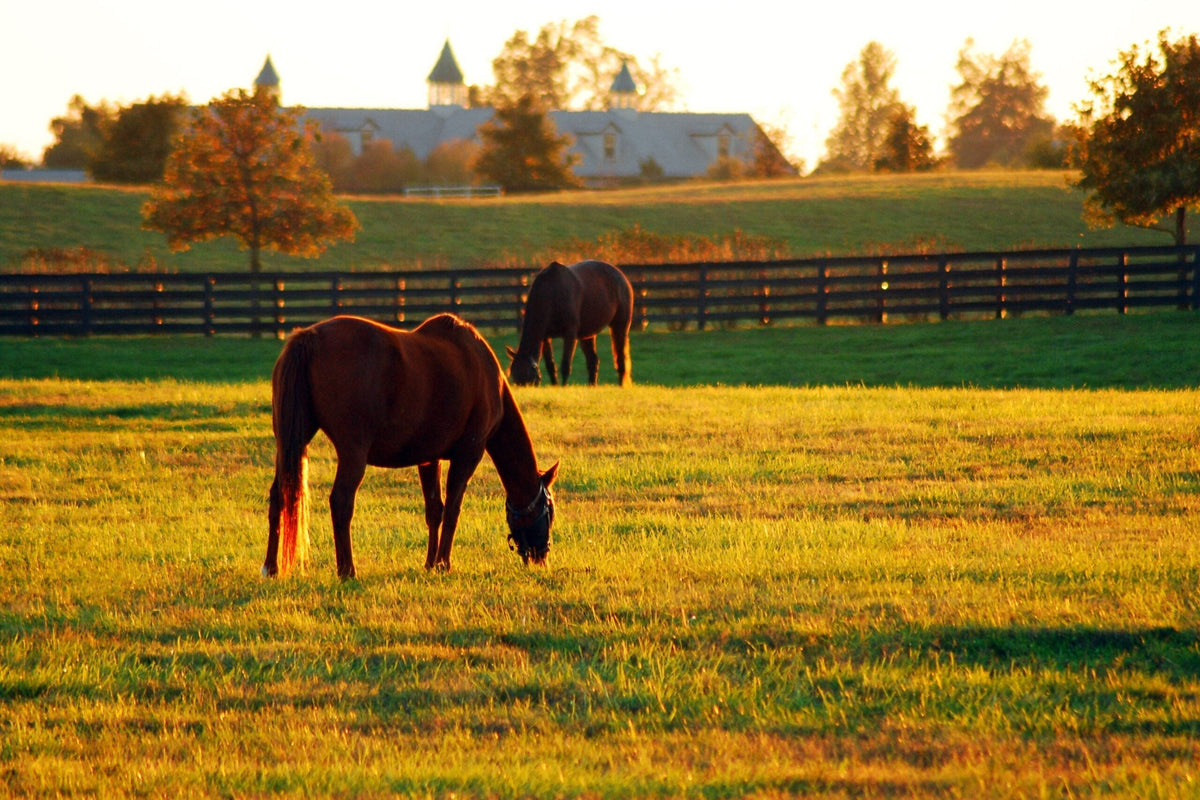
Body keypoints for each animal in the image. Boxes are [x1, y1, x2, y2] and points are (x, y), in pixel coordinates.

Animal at [263, 313, 559, 579]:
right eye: (550, 509)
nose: (542, 556)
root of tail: (310, 337)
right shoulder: (468, 454)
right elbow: (453, 509)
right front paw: (443, 563)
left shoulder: (429, 458)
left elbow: (435, 510)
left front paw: (430, 564)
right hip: (352, 453)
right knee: (341, 502)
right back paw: (347, 570)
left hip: (290, 441)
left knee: (279, 495)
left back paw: (271, 567)